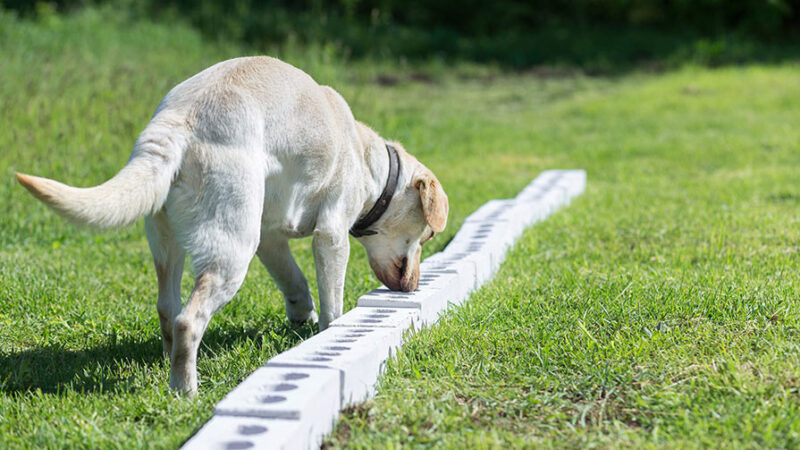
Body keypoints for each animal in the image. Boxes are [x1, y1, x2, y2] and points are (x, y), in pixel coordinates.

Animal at [15, 55, 446, 394]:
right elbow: (332, 301)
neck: (372, 164)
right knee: (189, 320)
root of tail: (176, 121)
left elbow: (295, 282)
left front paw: (301, 319)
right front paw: (328, 331)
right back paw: (185, 390)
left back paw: (170, 364)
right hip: (232, 253)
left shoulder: (269, 240)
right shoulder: (332, 235)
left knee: (167, 307)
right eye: (428, 234)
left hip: (169, 242)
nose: (413, 287)